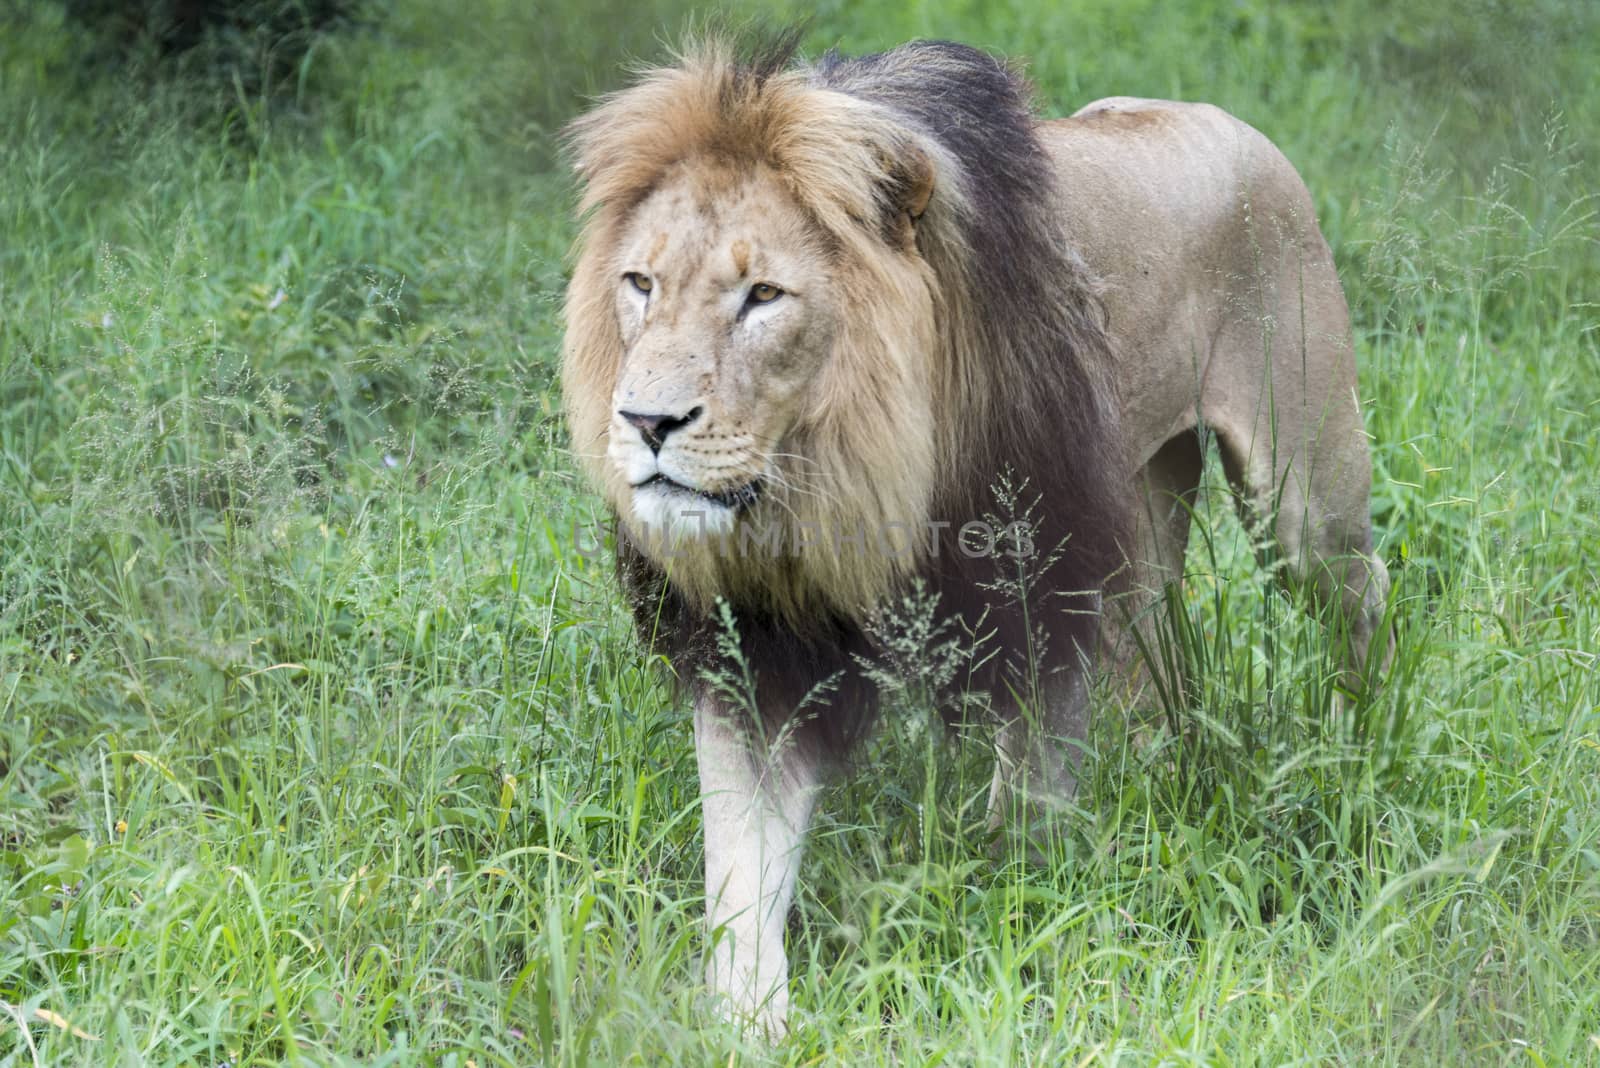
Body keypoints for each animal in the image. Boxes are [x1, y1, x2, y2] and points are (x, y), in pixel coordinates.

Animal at [560, 35, 1388, 1036]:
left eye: (763, 296)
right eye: (641, 284)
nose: (646, 422)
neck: (847, 474)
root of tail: (1224, 119)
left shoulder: (1044, 583)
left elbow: (1024, 787)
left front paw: (1013, 909)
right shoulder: (758, 645)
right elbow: (741, 865)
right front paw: (744, 1019)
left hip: (1298, 496)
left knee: (1364, 592)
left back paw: (1355, 745)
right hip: (1149, 505)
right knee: (1152, 640)